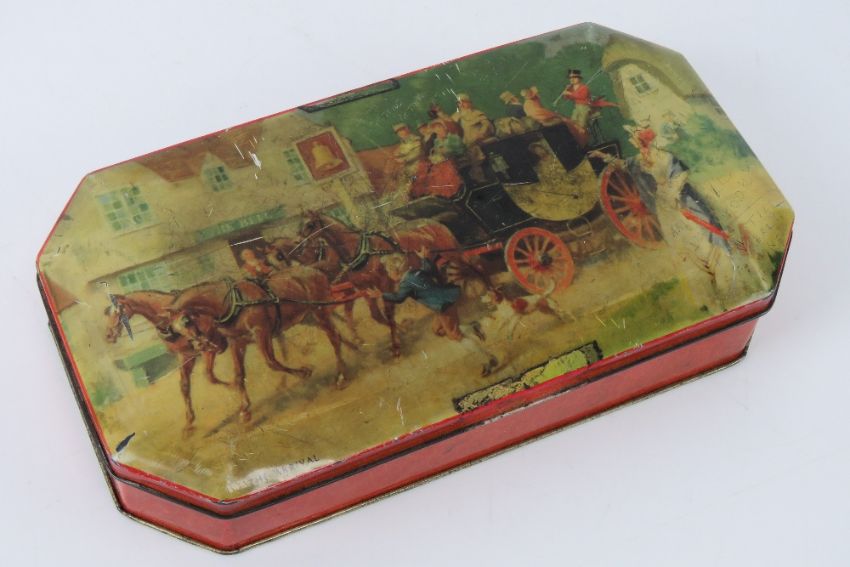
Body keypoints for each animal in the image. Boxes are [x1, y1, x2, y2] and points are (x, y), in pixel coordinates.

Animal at [104, 291, 229, 430]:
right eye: (107, 313)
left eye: (118, 310)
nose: (108, 336)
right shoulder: (185, 355)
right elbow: (185, 386)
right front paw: (189, 421)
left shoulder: (207, 349)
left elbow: (210, 375)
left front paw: (232, 387)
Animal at [168, 267, 353, 423]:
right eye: (175, 331)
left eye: (186, 321)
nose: (202, 347)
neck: (235, 302)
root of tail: (314, 270)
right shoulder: (237, 342)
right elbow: (239, 374)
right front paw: (245, 409)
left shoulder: (261, 333)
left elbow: (271, 362)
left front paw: (304, 372)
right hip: (308, 317)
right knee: (337, 334)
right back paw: (355, 346)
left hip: (319, 312)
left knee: (334, 338)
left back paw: (342, 376)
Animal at [296, 210, 498, 357]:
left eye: (310, 225)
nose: (298, 246)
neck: (361, 252)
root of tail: (432, 221)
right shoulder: (364, 288)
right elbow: (376, 314)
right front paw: (401, 333)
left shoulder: (384, 282)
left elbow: (388, 310)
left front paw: (396, 345)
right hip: (437, 260)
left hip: (454, 252)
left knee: (475, 265)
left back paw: (494, 295)